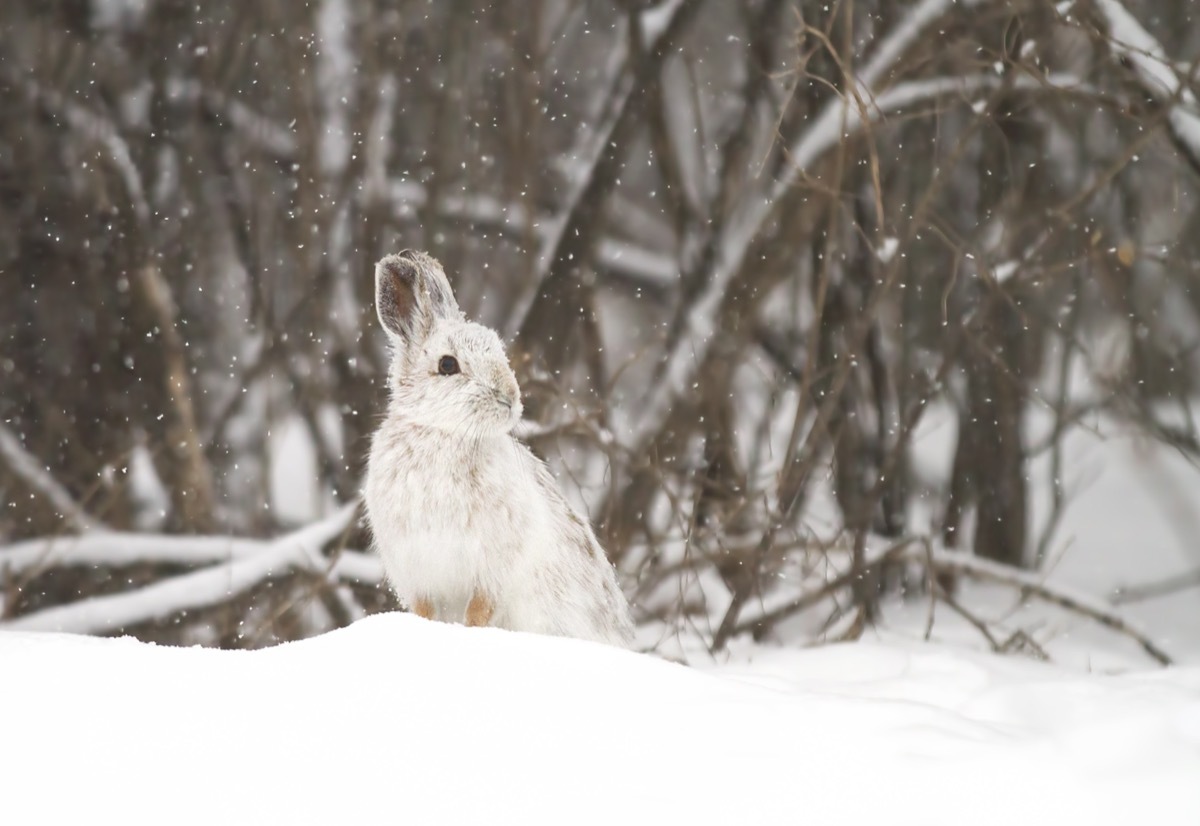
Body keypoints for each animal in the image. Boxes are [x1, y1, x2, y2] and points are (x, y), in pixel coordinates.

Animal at [364, 250, 634, 647]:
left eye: (498, 351)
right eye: (448, 364)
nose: (511, 398)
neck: (444, 434)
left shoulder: (491, 570)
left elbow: (479, 611)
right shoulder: (418, 571)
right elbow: (426, 611)